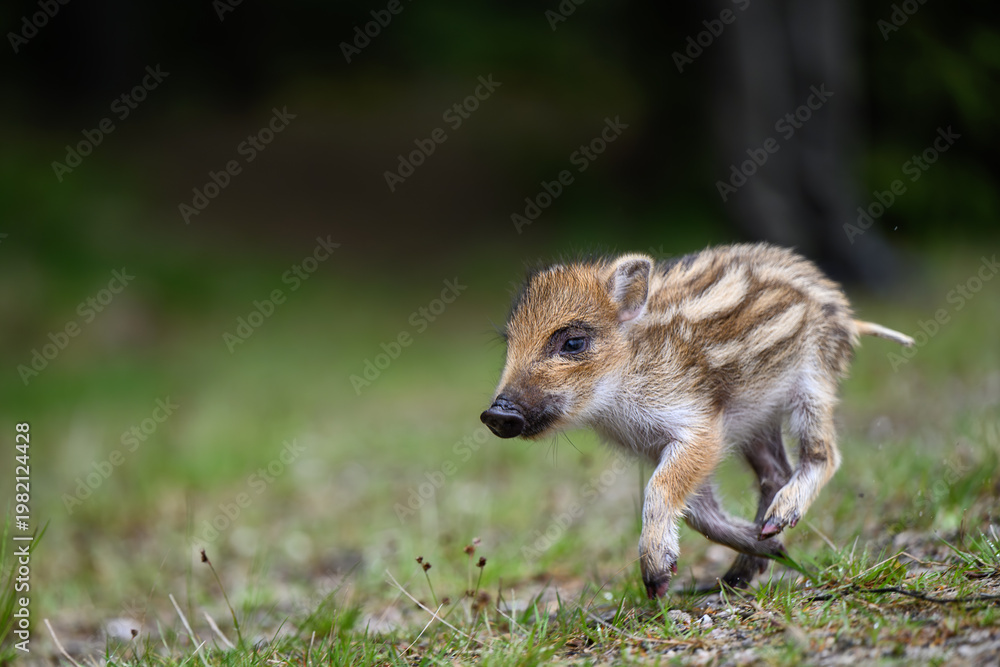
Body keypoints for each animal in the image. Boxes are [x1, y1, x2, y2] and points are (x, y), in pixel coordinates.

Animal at [480, 243, 914, 598]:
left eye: (573, 342)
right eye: (511, 343)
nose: (496, 413)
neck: (623, 380)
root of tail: (847, 315)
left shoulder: (698, 426)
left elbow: (661, 489)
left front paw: (656, 577)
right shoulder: (661, 444)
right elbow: (700, 513)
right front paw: (768, 548)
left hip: (813, 382)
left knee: (823, 454)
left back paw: (780, 517)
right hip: (757, 419)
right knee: (773, 473)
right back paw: (750, 559)